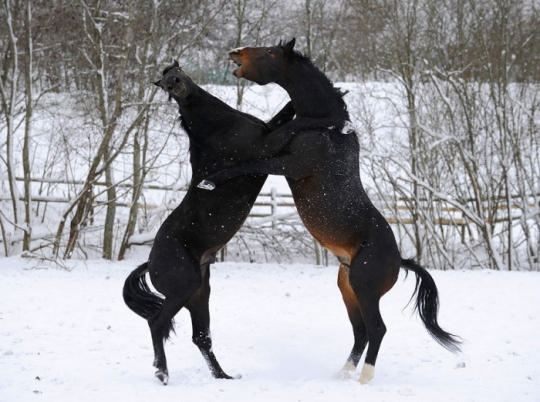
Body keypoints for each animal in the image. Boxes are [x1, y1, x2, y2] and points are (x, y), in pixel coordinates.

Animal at [123, 61, 296, 384]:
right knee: (157, 323)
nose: (176, 85)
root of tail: (151, 262)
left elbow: (285, 112)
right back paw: (162, 372)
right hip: (185, 289)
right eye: (165, 84)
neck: (219, 129)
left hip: (199, 295)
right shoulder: (265, 144)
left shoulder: (266, 130)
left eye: (177, 71)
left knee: (200, 338)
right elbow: (291, 123)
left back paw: (223, 376)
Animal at [200, 40, 462, 384]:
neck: (328, 127)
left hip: (364, 289)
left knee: (377, 329)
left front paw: (209, 181)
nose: (236, 51)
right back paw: (342, 374)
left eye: (270, 52)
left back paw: (364, 378)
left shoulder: (288, 165)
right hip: (347, 287)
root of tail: (399, 260)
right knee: (360, 331)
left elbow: (249, 163)